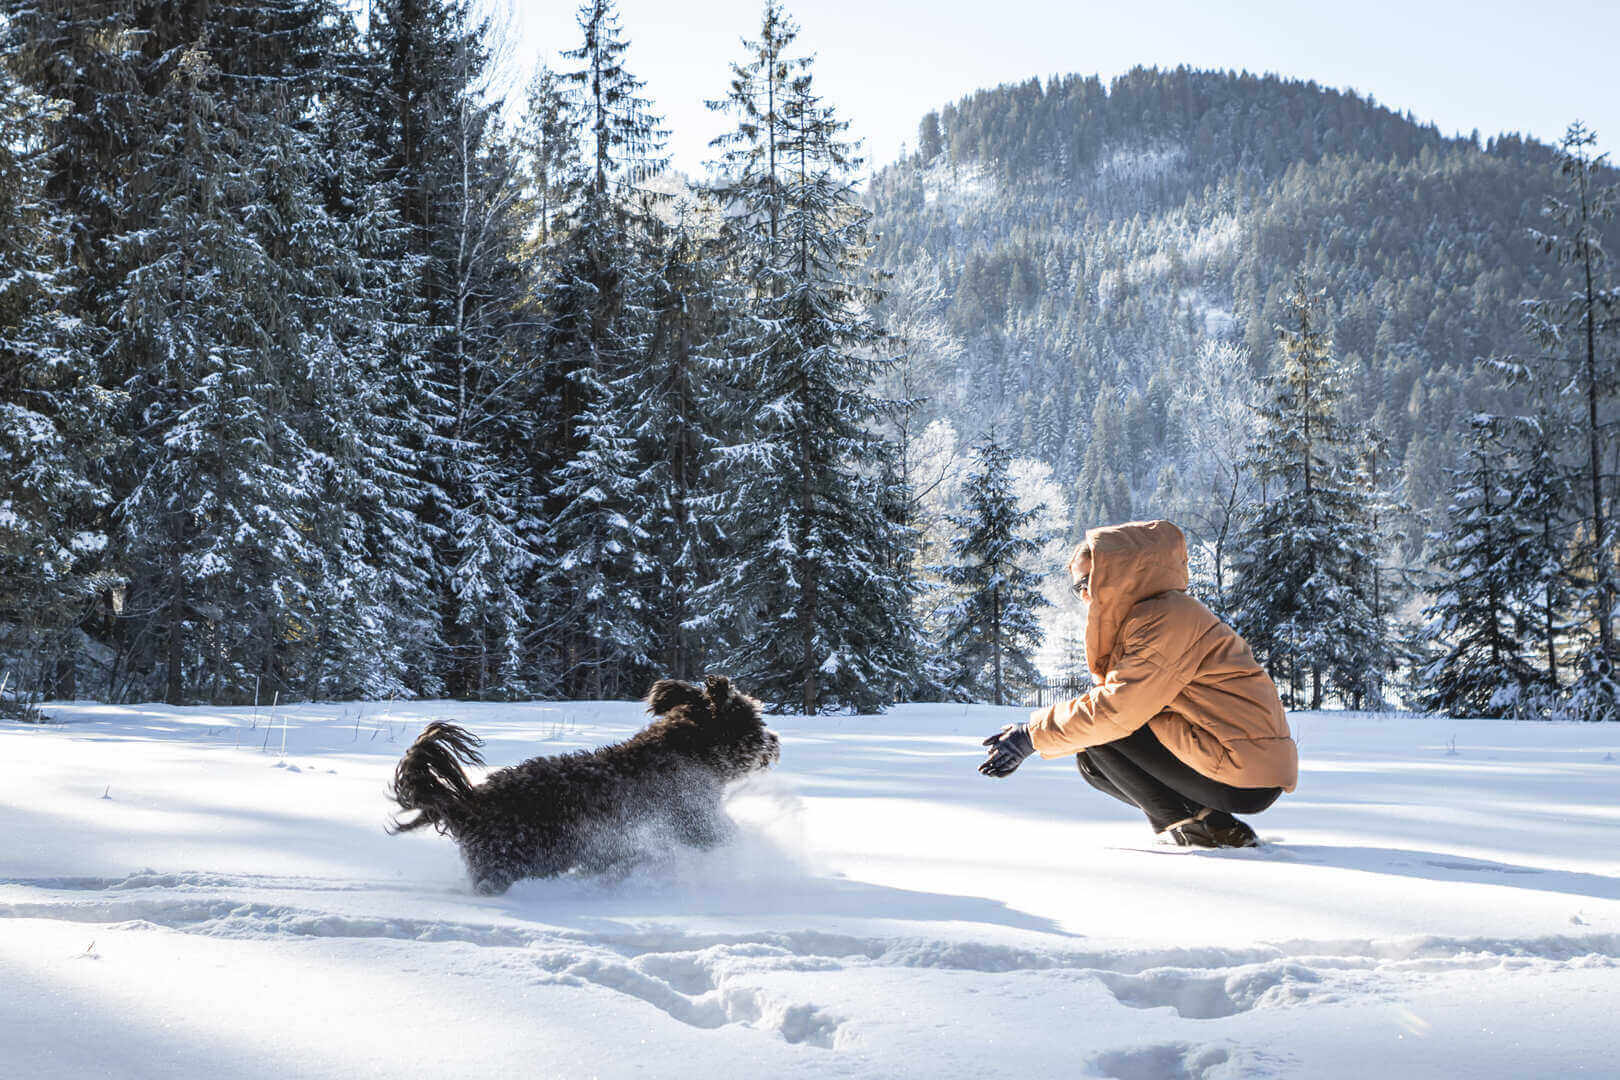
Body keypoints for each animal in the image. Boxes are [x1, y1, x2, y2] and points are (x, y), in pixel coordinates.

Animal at [385, 676, 777, 893]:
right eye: (753, 720)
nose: (773, 741)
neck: (685, 750)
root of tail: (472, 804)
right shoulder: (696, 821)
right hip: (511, 861)